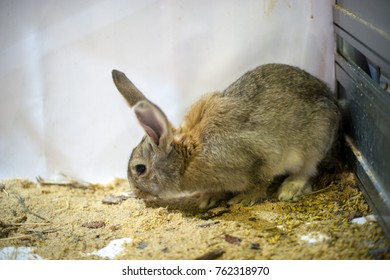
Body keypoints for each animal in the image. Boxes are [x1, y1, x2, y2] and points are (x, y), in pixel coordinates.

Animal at [111, 63, 340, 208]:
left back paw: (289, 189)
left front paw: (243, 199)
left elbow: (261, 181)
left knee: (307, 170)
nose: (135, 192)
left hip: (314, 143)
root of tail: (333, 100)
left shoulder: (258, 158)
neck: (188, 157)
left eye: (140, 169)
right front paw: (208, 198)